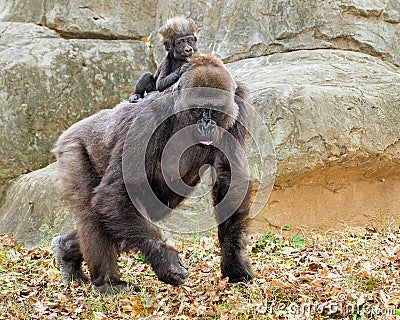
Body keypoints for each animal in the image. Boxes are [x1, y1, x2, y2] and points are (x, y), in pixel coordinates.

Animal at [52, 54, 253, 292]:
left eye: (214, 110)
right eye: (199, 109)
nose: (207, 125)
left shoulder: (239, 104)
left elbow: (229, 178)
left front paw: (234, 263)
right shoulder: (147, 118)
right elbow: (114, 191)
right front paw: (165, 260)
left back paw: (66, 250)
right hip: (71, 147)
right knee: (92, 212)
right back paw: (108, 283)